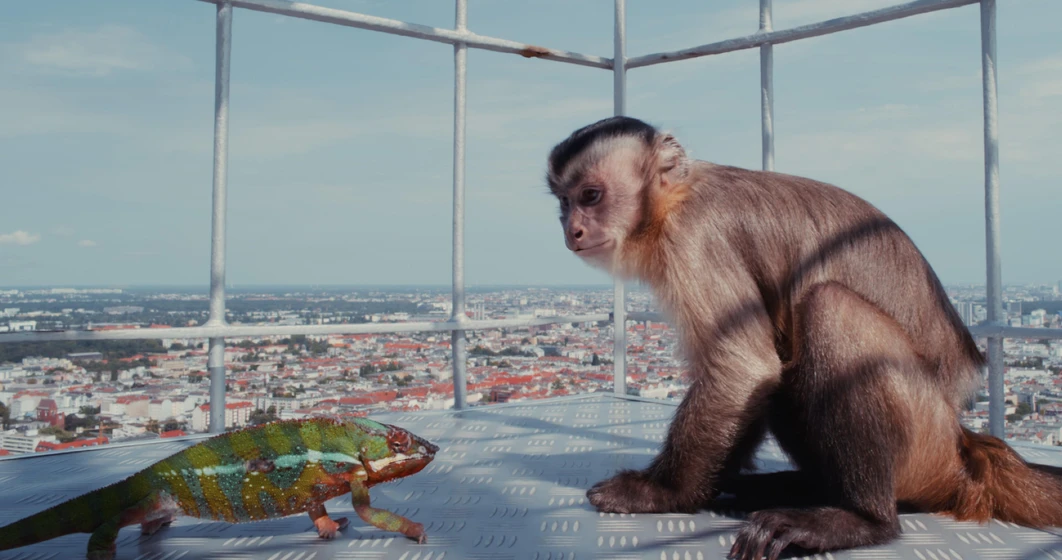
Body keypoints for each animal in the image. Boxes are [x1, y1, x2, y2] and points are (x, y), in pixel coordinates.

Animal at [543, 116, 1062, 560]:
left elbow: (743, 367)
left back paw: (861, 518)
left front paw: (664, 492)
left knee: (829, 308)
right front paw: (706, 487)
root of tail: (962, 447)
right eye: (563, 202)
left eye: (591, 195)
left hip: (923, 444)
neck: (675, 199)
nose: (571, 229)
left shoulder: (693, 240)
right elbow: (750, 378)